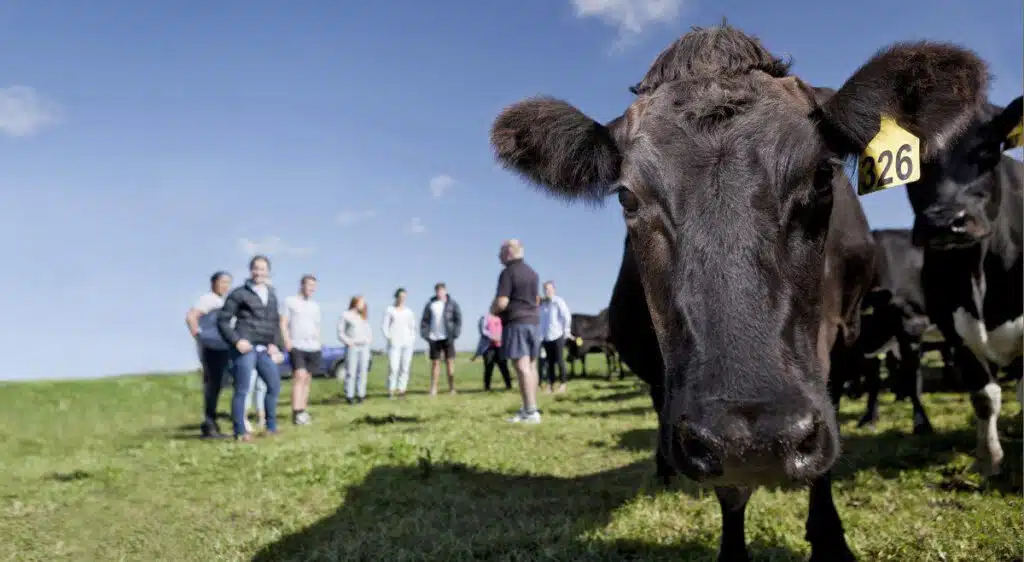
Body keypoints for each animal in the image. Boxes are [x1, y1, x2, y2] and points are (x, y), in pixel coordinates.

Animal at [490, 23, 989, 561]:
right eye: (626, 196)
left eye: (824, 174)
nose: (760, 439)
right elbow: (729, 485)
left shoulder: (839, 340)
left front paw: (830, 539)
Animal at [902, 94, 1023, 477]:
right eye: (913, 159)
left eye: (987, 149)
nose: (944, 222)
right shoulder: (953, 330)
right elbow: (983, 395)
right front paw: (989, 458)